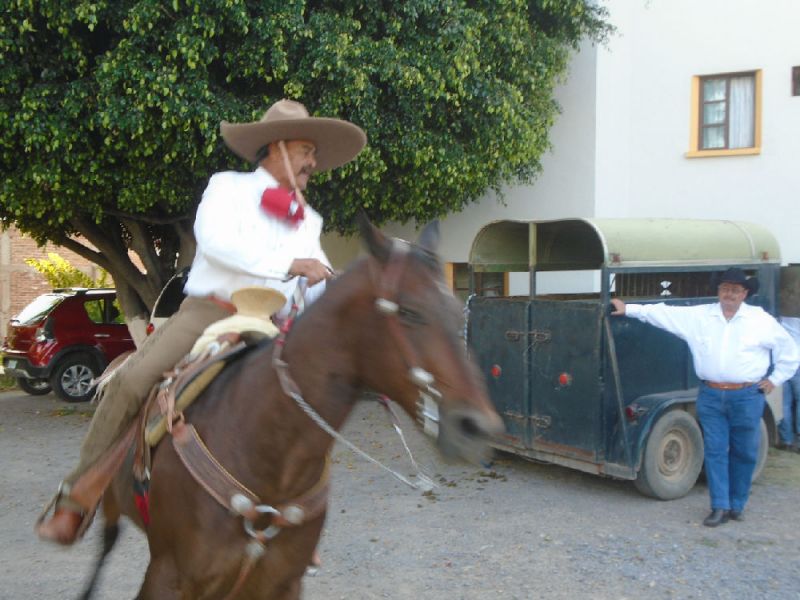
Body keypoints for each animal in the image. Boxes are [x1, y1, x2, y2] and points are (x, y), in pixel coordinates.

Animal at [86, 218, 503, 599]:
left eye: (458, 311)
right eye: (409, 312)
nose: (476, 427)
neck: (267, 456)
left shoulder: (277, 582)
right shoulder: (167, 579)